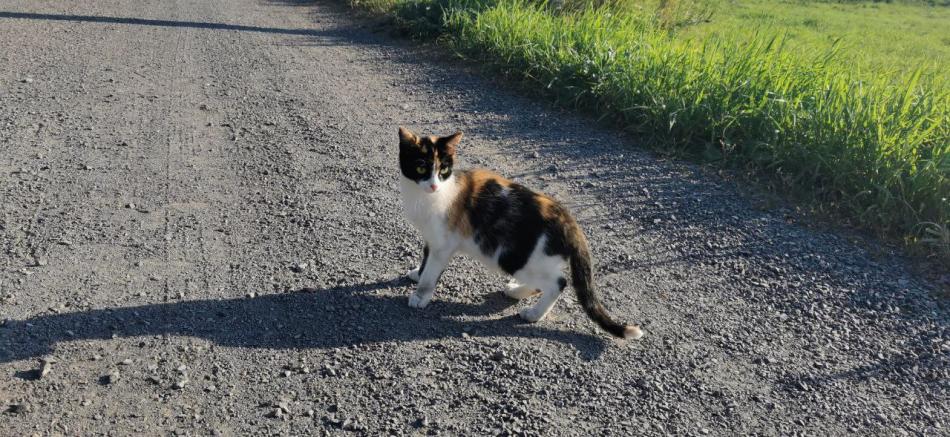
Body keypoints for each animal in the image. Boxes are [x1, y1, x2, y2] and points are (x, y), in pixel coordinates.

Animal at [397, 127, 642, 339]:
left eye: (443, 170)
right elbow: (426, 259)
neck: (427, 196)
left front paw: (420, 295)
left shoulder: (444, 244)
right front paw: (418, 273)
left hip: (514, 256)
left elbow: (432, 272)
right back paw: (516, 291)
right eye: (421, 168)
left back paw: (533, 314)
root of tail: (569, 221)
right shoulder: (431, 238)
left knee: (558, 282)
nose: (433, 186)